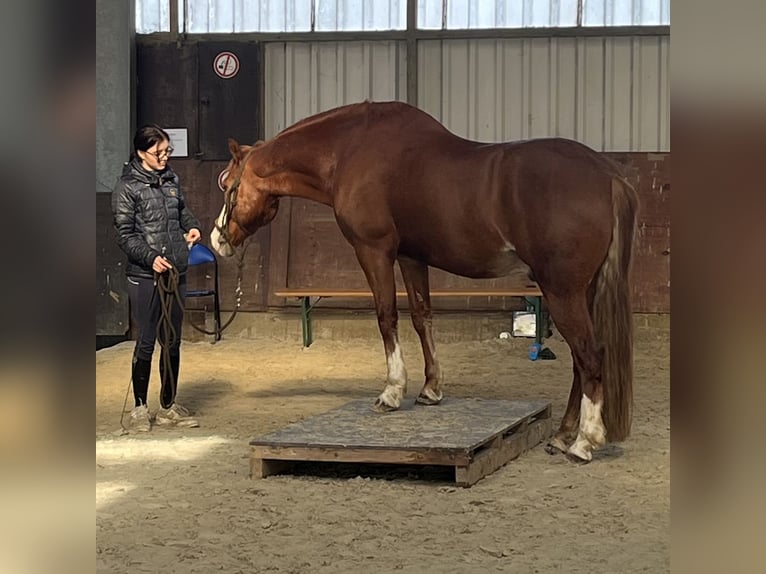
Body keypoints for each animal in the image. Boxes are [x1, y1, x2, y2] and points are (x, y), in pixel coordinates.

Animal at [210, 101, 638, 463]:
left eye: (227, 183)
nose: (217, 239)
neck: (350, 150)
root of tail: (607, 175)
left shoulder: (374, 251)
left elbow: (387, 316)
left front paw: (392, 391)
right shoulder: (411, 258)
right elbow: (421, 316)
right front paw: (431, 390)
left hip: (561, 291)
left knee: (589, 355)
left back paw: (584, 442)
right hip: (580, 291)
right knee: (579, 361)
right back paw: (563, 435)